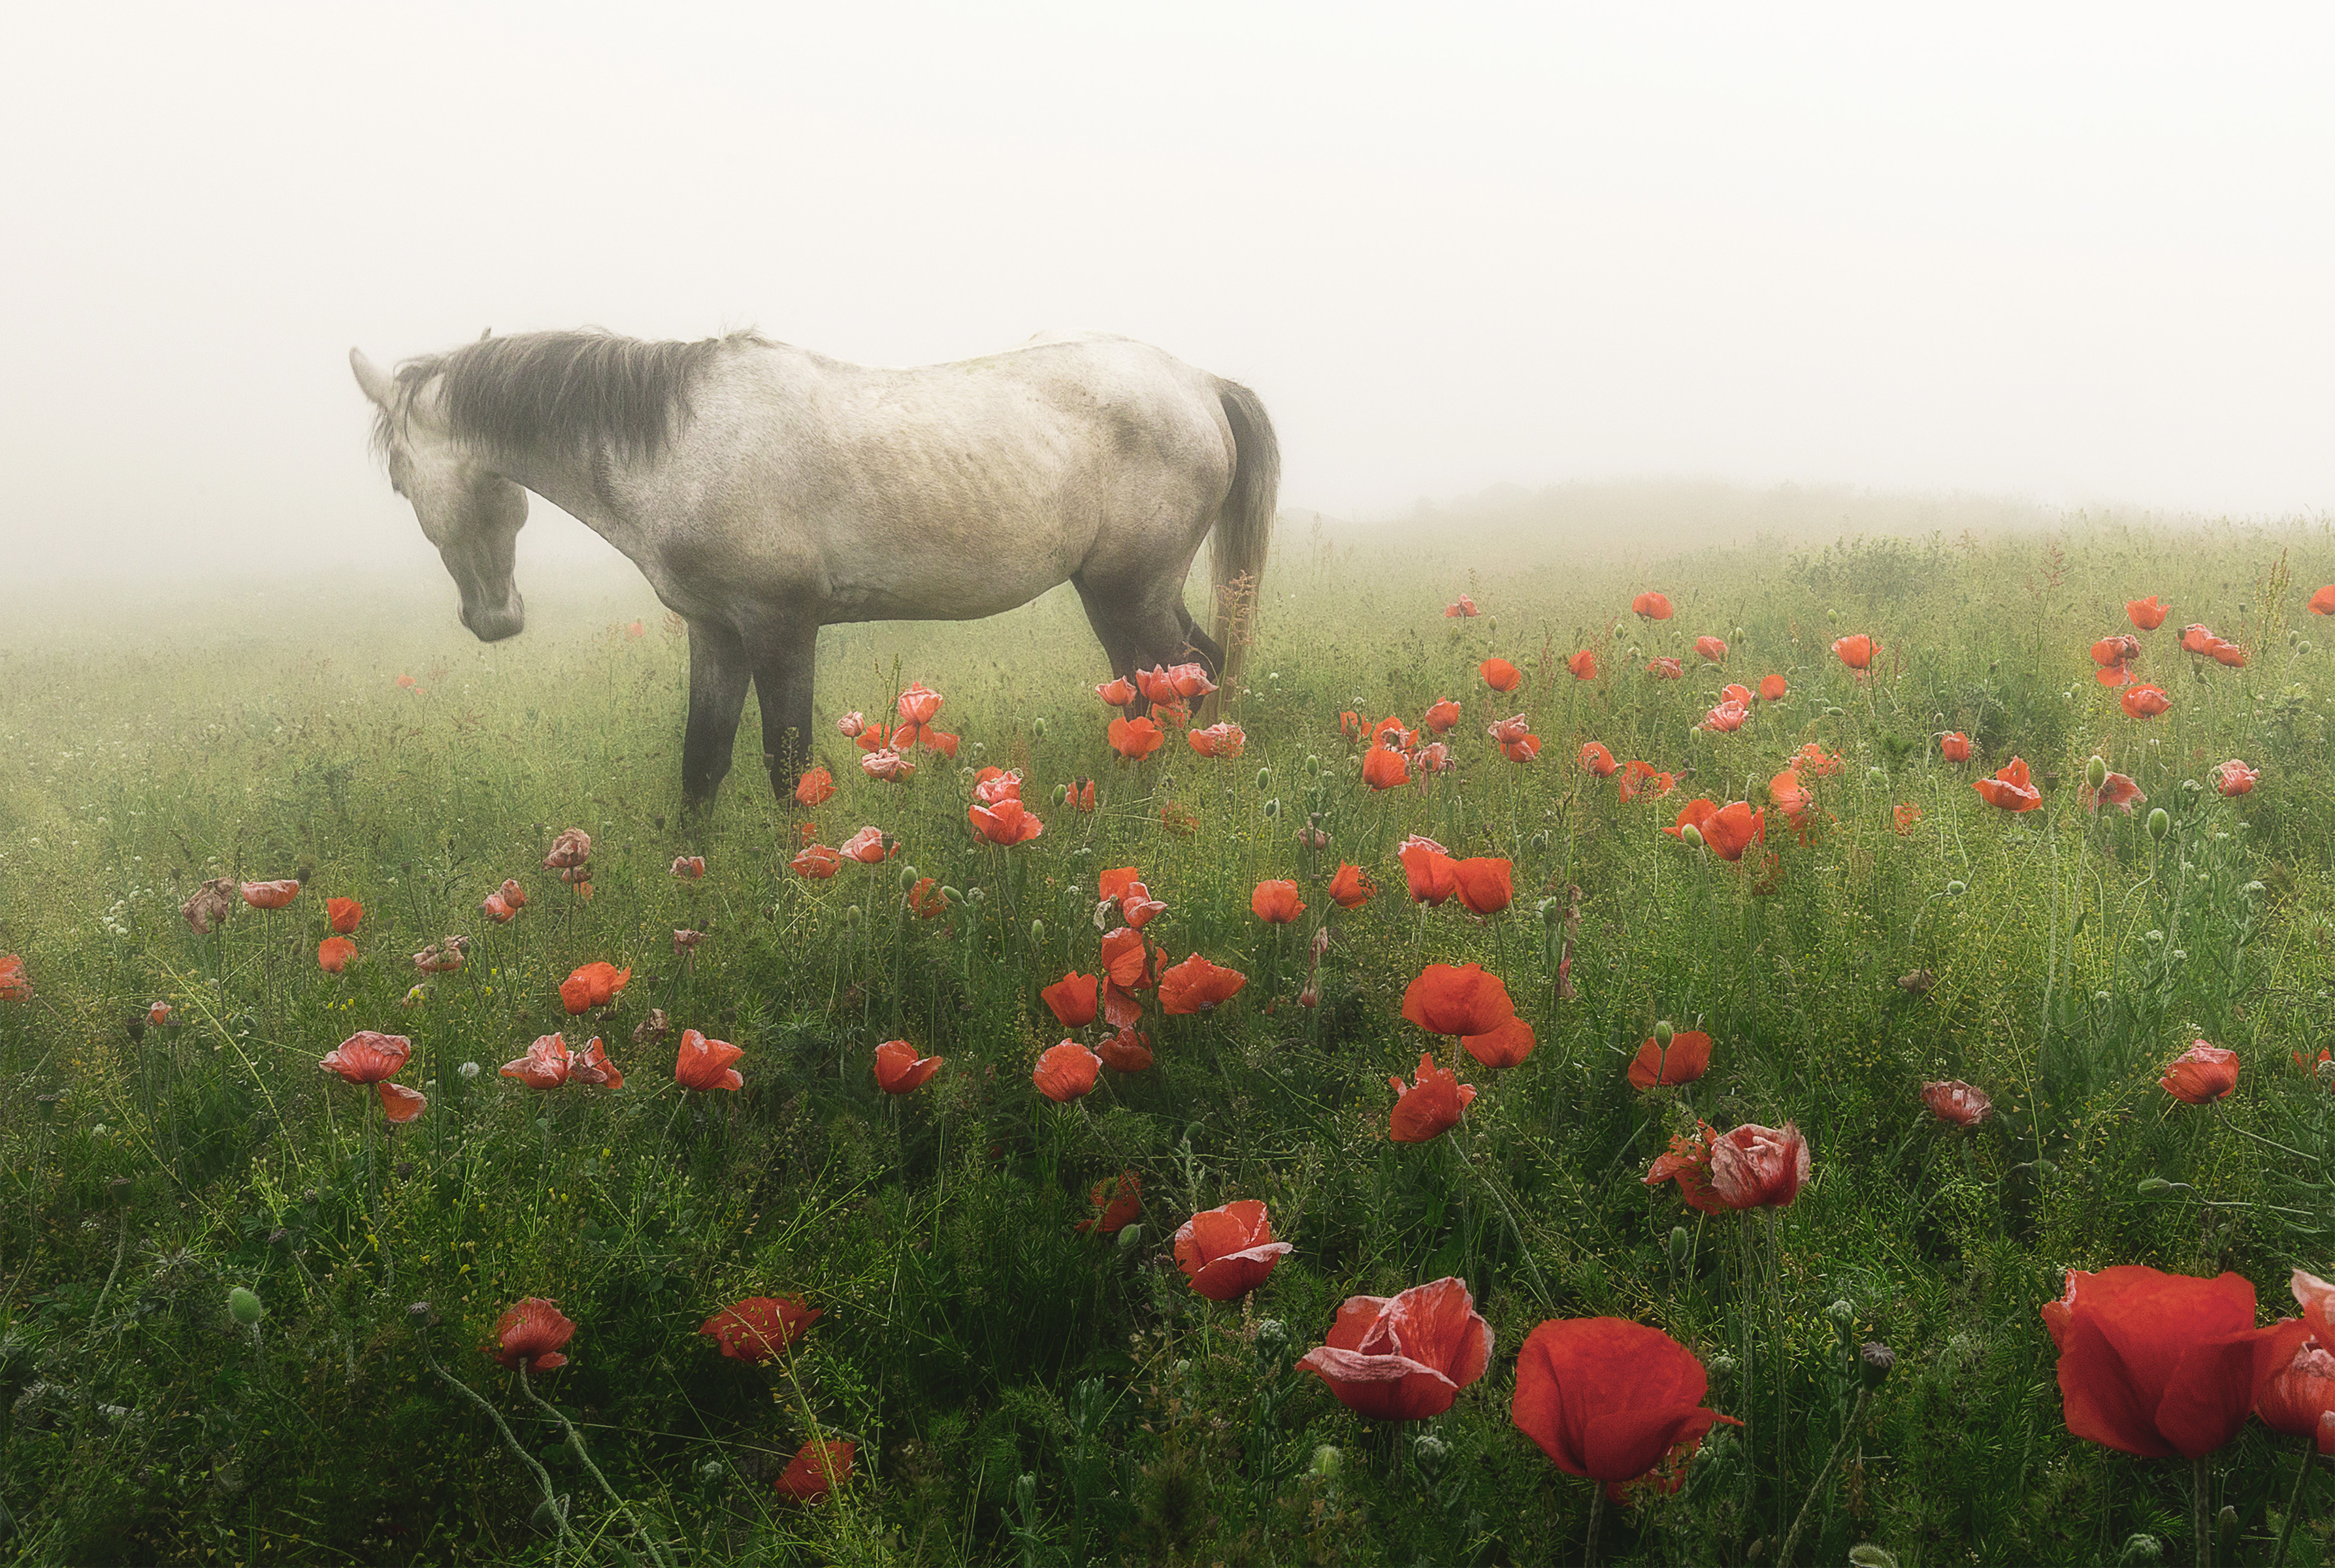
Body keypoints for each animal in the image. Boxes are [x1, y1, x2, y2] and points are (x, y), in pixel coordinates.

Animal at [348, 328, 1278, 809]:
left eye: (396, 479)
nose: (493, 620)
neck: (682, 446)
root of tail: (1201, 382)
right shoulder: (715, 631)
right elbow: (702, 760)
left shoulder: (780, 625)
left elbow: (786, 763)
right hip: (1121, 592)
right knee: (1181, 677)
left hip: (1129, 589)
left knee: (1175, 678)